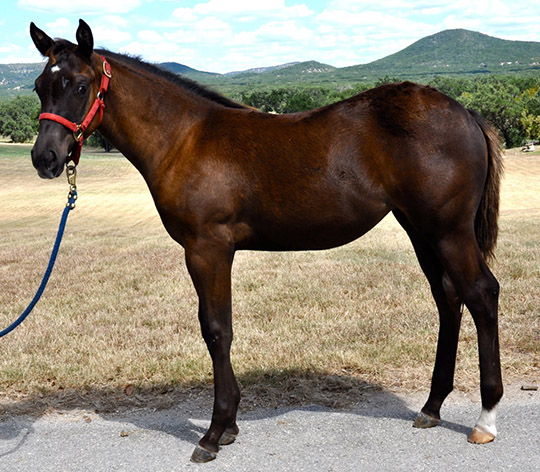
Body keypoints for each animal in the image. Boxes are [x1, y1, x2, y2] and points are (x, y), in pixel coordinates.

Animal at [29, 20, 502, 462]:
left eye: (81, 85)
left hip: (448, 231)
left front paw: (215, 432)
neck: (184, 138)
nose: (44, 158)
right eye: (39, 86)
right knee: (448, 299)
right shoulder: (208, 253)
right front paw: (230, 425)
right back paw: (432, 406)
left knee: (481, 294)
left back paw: (486, 418)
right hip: (420, 230)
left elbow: (217, 330)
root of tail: (466, 113)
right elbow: (216, 328)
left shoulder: (207, 250)